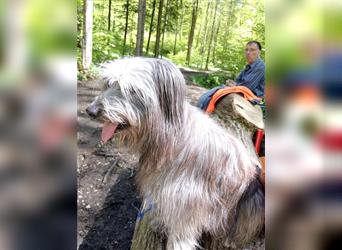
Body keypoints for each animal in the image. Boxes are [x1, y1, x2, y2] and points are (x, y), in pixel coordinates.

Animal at [86, 57, 264, 249]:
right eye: (108, 83)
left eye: (132, 90)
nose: (91, 111)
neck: (168, 138)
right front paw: (159, 223)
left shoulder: (188, 201)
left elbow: (181, 235)